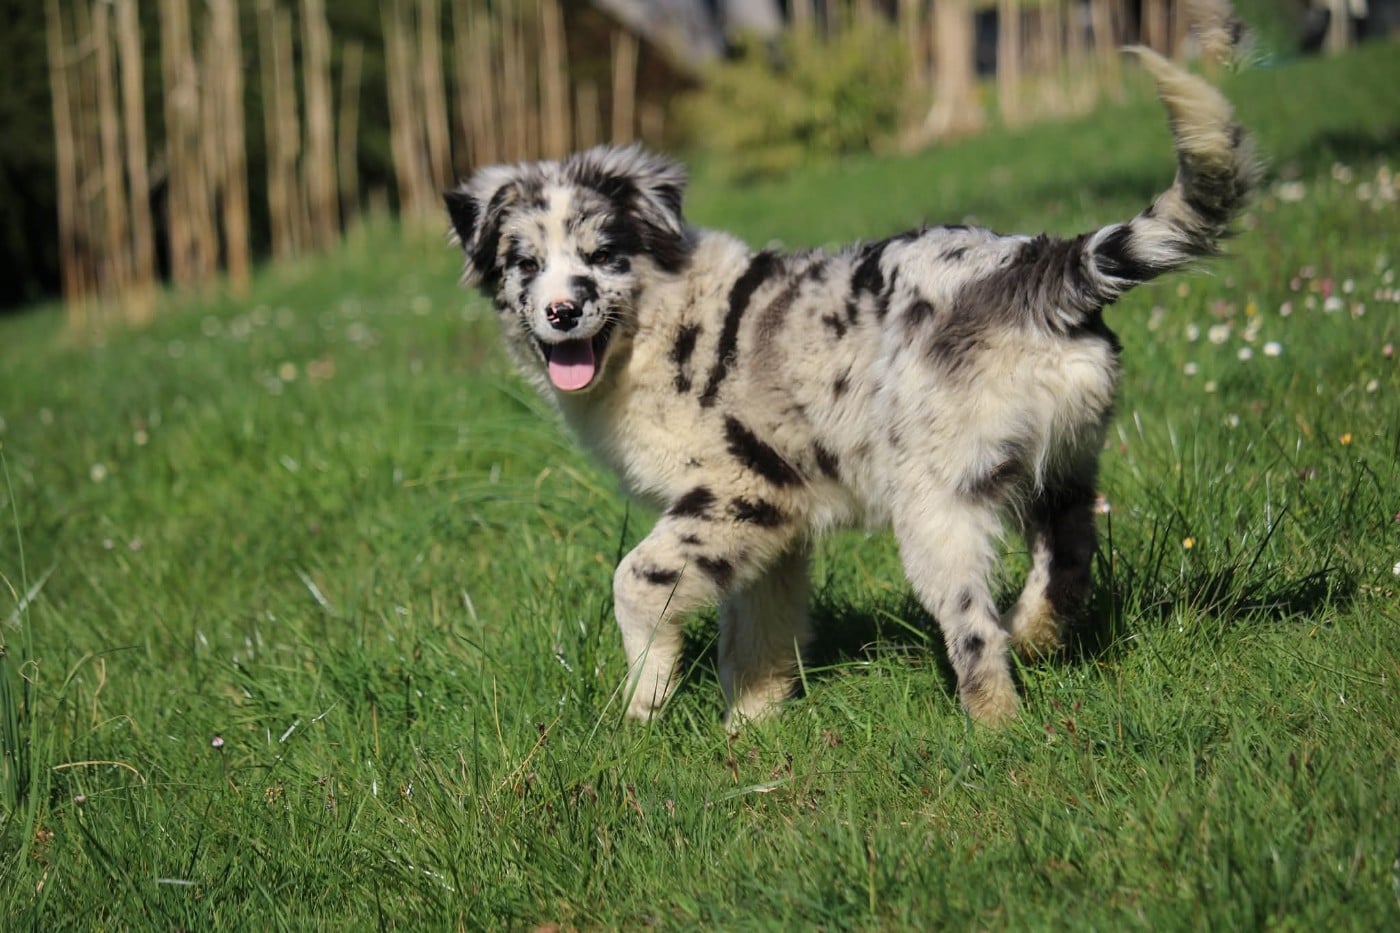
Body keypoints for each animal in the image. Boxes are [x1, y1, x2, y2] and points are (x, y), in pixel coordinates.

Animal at [445, 41, 1258, 726]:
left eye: (602, 254)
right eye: (523, 264)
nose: (562, 310)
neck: (657, 323)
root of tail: (1044, 265)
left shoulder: (738, 489)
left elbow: (637, 581)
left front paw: (643, 702)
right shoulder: (774, 522)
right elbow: (758, 632)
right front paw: (750, 729)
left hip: (933, 501)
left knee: (974, 629)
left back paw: (996, 728)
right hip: (1062, 455)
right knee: (1069, 556)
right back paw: (1034, 634)